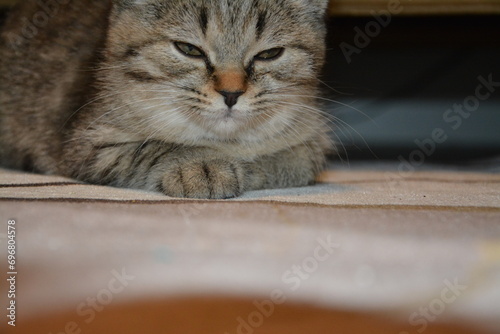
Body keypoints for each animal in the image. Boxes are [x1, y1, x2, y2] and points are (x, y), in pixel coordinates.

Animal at [0, 0, 332, 198]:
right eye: (189, 49)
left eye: (269, 54)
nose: (231, 93)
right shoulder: (87, 145)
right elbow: (151, 147)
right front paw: (201, 165)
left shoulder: (311, 139)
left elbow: (295, 161)